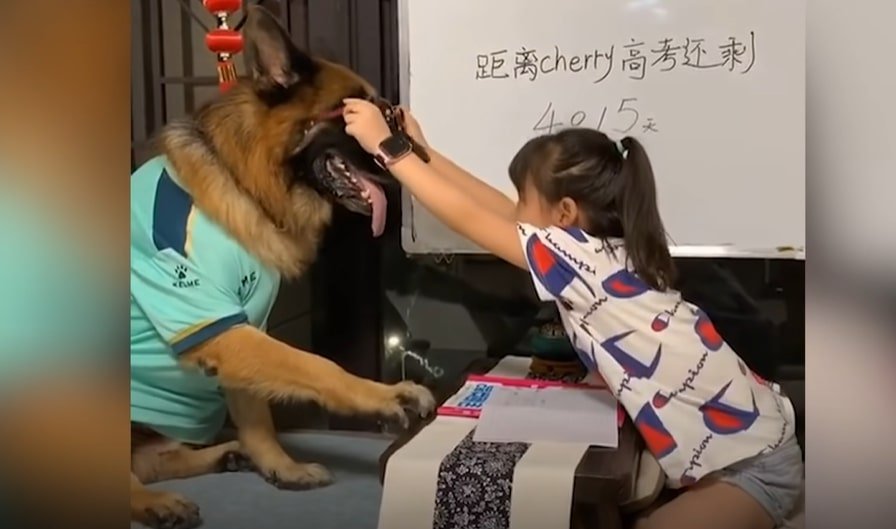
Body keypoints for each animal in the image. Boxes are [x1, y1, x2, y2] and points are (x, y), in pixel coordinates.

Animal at [130, 5, 434, 528]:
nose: (415, 149)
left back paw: (224, 455)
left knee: (149, 461)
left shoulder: (240, 329)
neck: (242, 178)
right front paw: (385, 395)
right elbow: (317, 365)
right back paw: (151, 502)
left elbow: (257, 414)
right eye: (359, 113)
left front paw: (279, 466)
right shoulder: (221, 329)